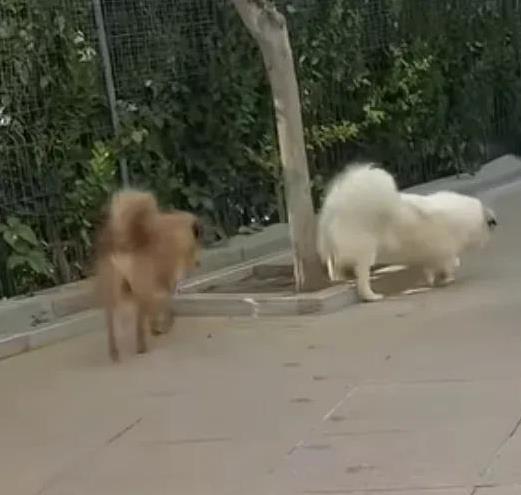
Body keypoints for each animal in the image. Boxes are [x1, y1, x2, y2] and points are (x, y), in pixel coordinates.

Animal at [94, 189, 202, 361]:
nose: (199, 262)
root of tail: (124, 239)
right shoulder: (165, 284)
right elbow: (164, 306)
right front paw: (163, 325)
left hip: (113, 290)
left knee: (111, 322)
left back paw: (114, 352)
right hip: (142, 288)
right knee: (139, 320)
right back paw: (141, 347)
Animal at [317, 162, 497, 302]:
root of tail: (337, 205)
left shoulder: (431, 253)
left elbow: (432, 268)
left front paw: (432, 280)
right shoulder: (443, 250)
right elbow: (448, 264)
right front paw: (447, 278)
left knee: (338, 267)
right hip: (365, 252)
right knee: (362, 280)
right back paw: (371, 296)